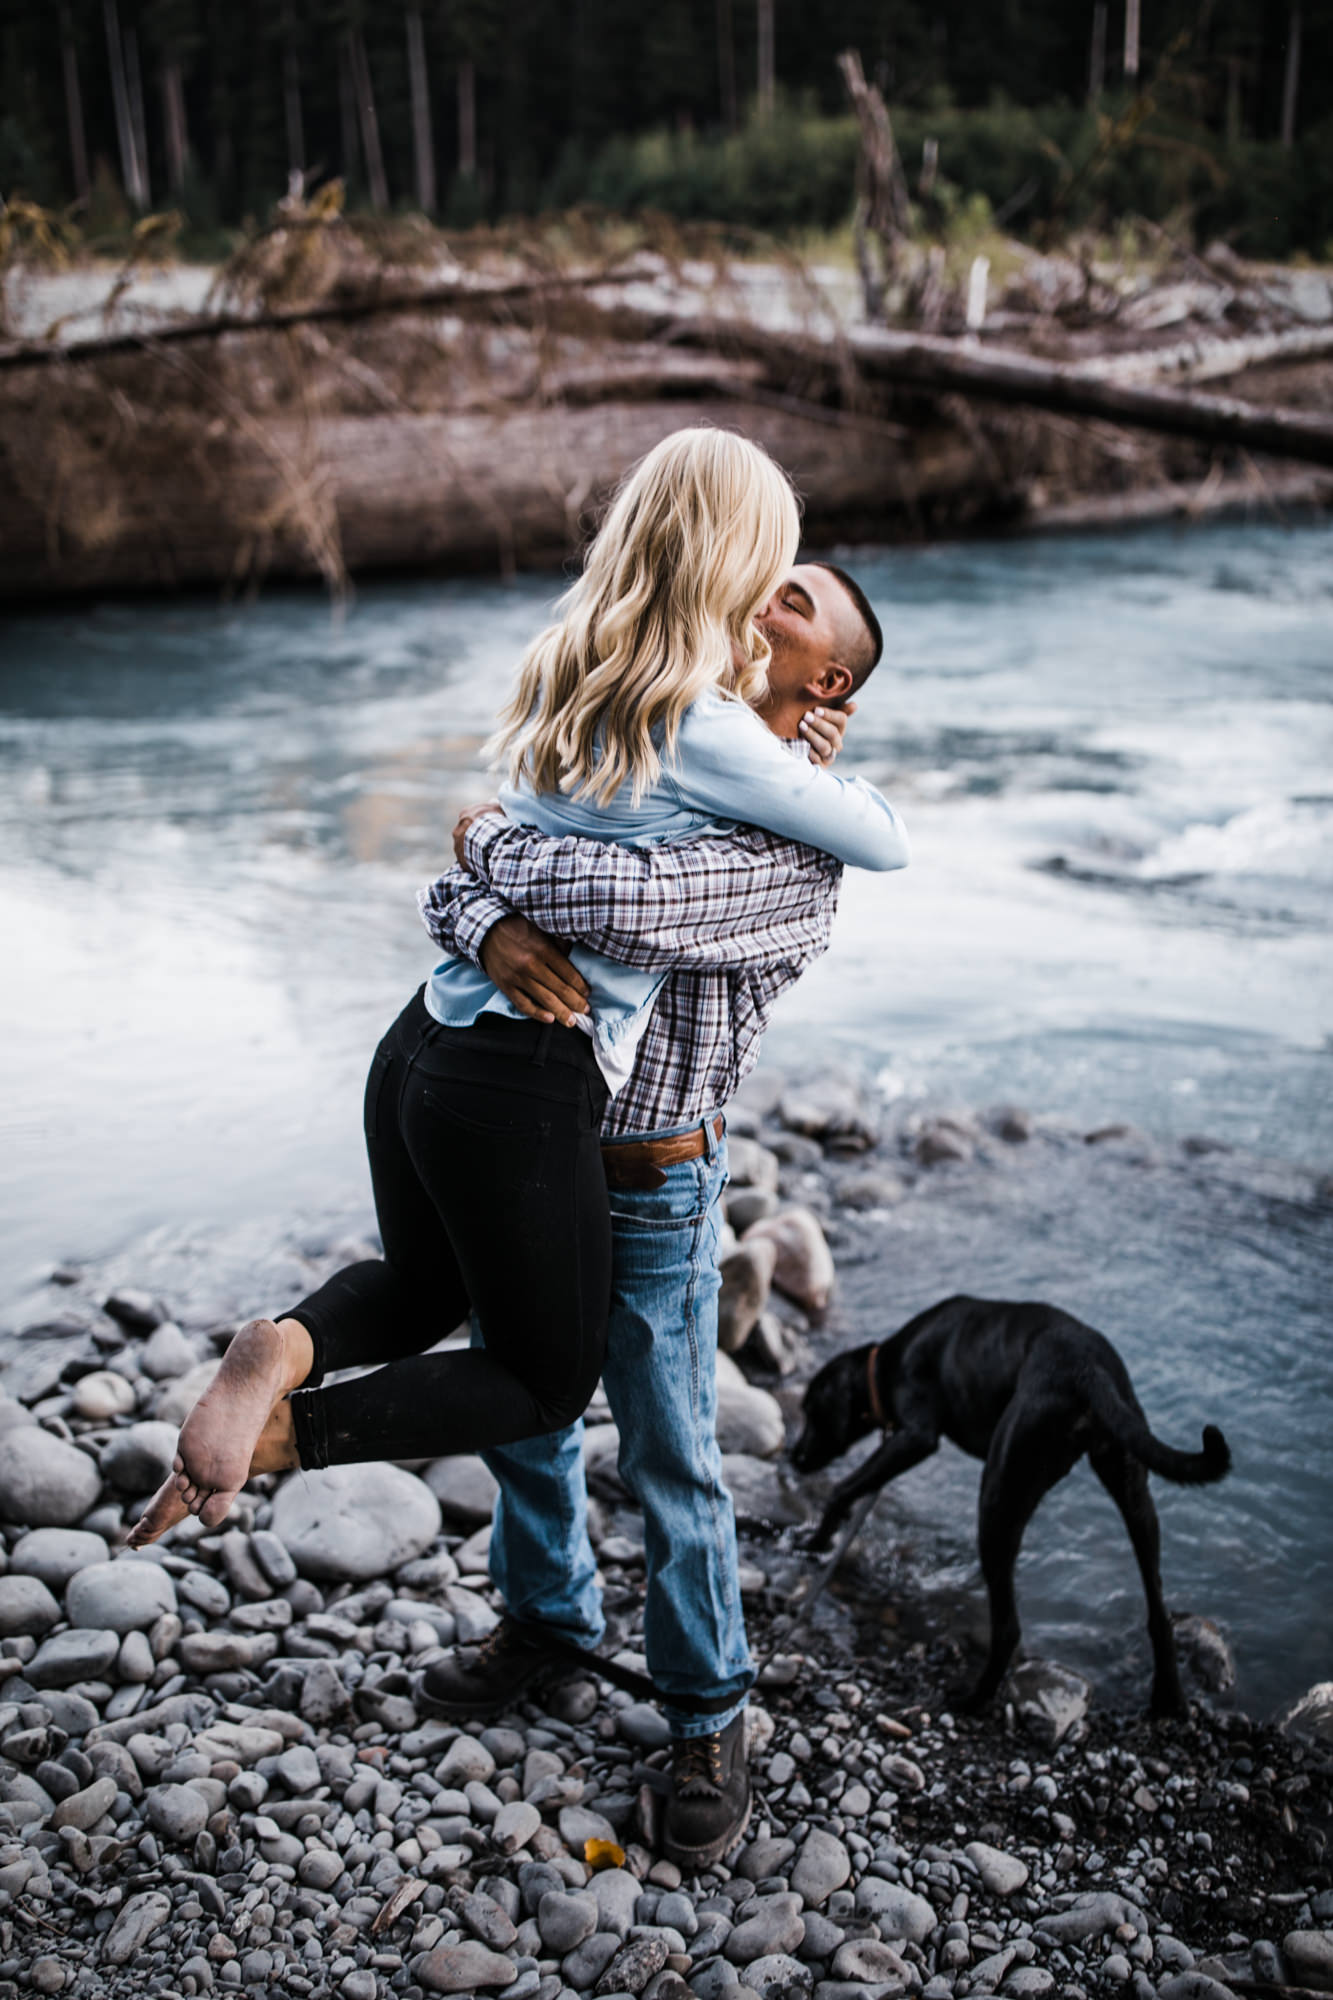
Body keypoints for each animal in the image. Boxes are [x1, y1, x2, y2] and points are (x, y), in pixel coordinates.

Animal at [784, 1296, 1232, 1720]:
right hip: (1133, 1492)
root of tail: (1085, 1368)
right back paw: (1169, 1701)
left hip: (998, 1495)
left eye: (811, 1411)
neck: (888, 1363)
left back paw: (971, 1700)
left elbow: (842, 1489)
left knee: (1007, 1628)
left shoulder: (915, 1437)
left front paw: (815, 1542)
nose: (793, 1457)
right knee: (1159, 1614)